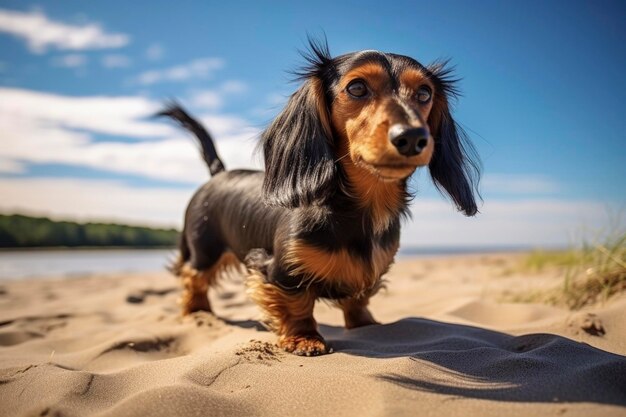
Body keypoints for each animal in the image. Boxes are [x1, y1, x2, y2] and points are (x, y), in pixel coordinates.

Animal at [160, 39, 478, 354]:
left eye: (424, 93)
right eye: (357, 88)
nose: (412, 137)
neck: (359, 208)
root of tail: (219, 173)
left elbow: (358, 299)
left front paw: (365, 324)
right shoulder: (281, 269)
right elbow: (296, 303)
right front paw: (305, 338)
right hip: (204, 248)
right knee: (193, 278)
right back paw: (198, 312)